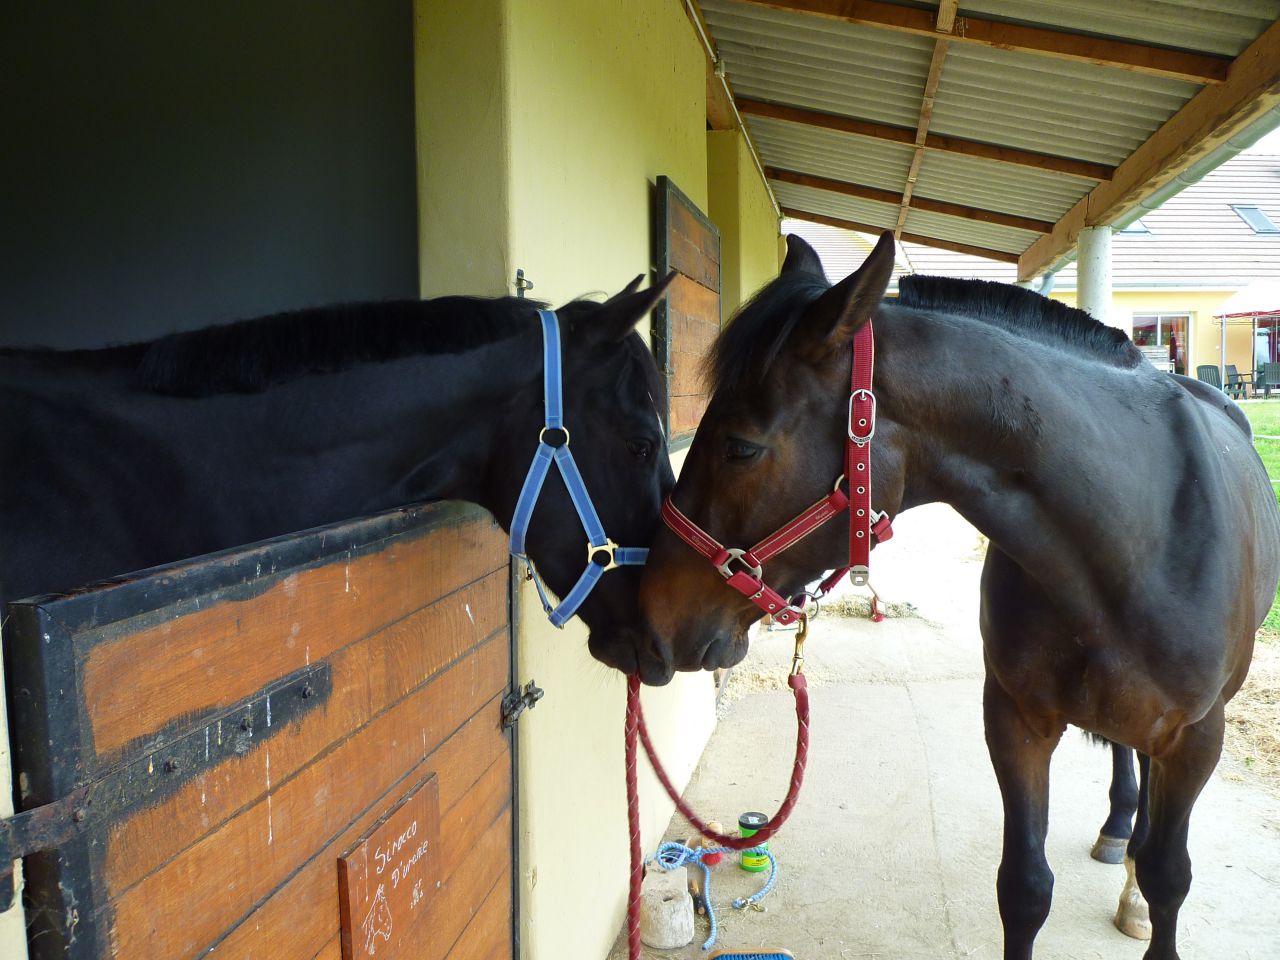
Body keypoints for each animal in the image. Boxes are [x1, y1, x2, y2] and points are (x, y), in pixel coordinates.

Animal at [634, 232, 1280, 960]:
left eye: (742, 447)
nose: (651, 621)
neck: (1141, 532)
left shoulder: (1198, 739)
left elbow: (1171, 875)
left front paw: (1148, 891)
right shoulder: (1016, 719)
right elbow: (1024, 887)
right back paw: (1120, 829)